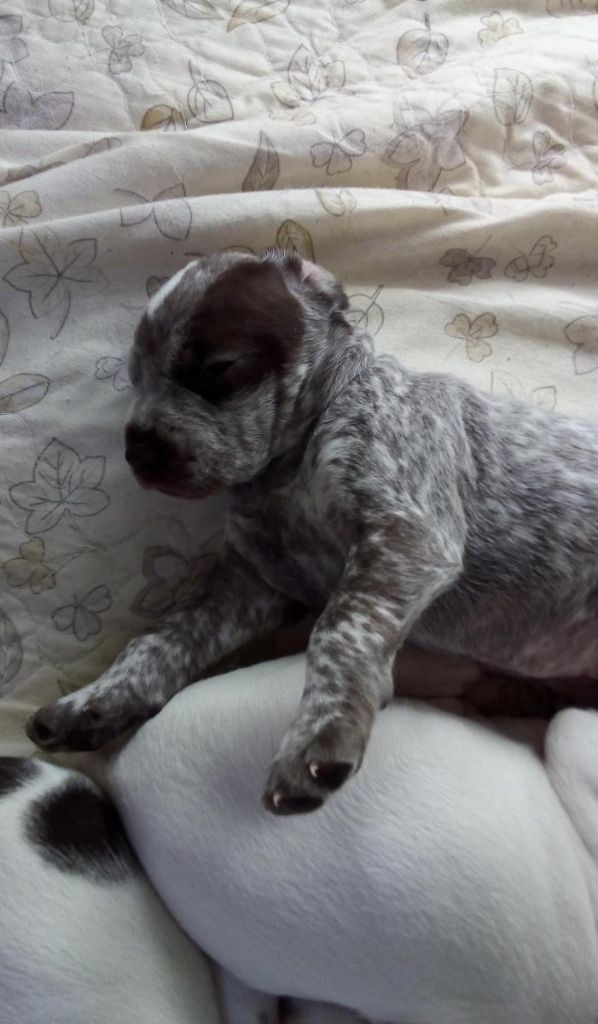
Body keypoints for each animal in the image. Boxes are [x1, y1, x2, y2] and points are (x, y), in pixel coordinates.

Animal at [27, 250, 598, 814]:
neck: (289, 464)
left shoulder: (405, 530)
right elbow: (156, 642)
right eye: (135, 379)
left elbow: (336, 630)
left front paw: (322, 731)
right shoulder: (252, 585)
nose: (138, 451)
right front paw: (95, 701)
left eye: (216, 370)